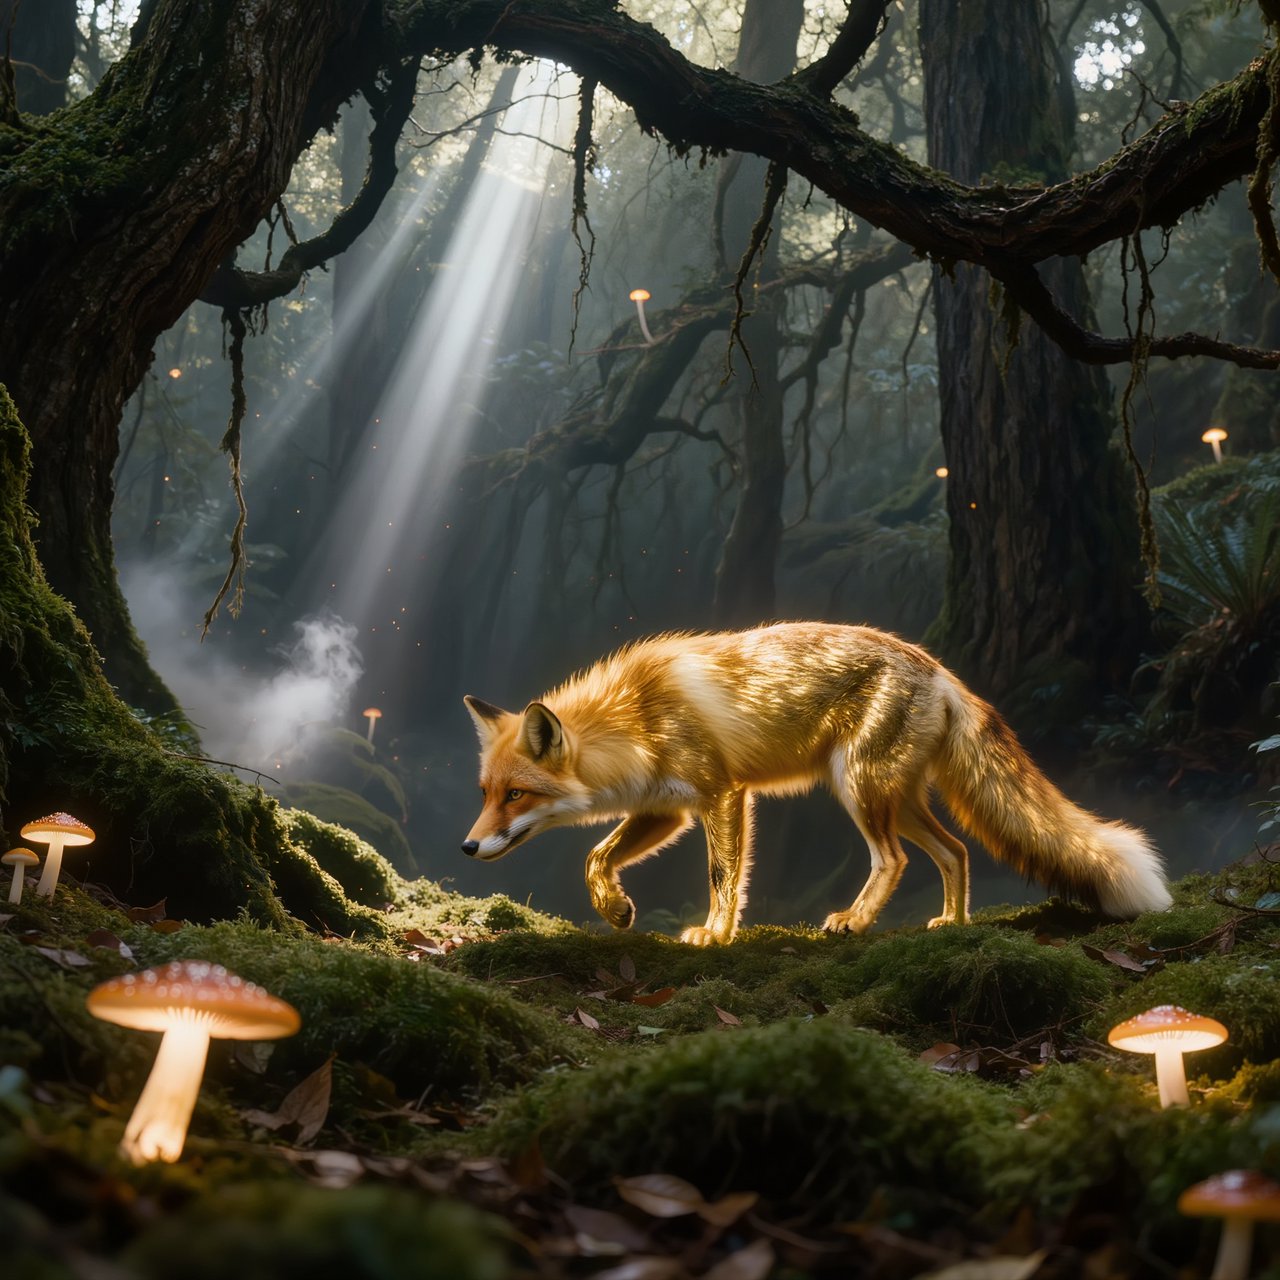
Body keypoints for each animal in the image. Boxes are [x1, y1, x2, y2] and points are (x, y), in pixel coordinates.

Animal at [461, 622, 1172, 945]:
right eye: (486, 794)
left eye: (516, 795)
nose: (466, 848)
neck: (636, 718)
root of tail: (941, 671)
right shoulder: (668, 810)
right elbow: (594, 856)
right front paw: (614, 909)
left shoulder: (722, 795)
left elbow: (722, 878)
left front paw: (716, 935)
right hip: (896, 799)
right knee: (956, 852)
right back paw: (952, 922)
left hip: (860, 789)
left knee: (895, 860)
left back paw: (853, 921)